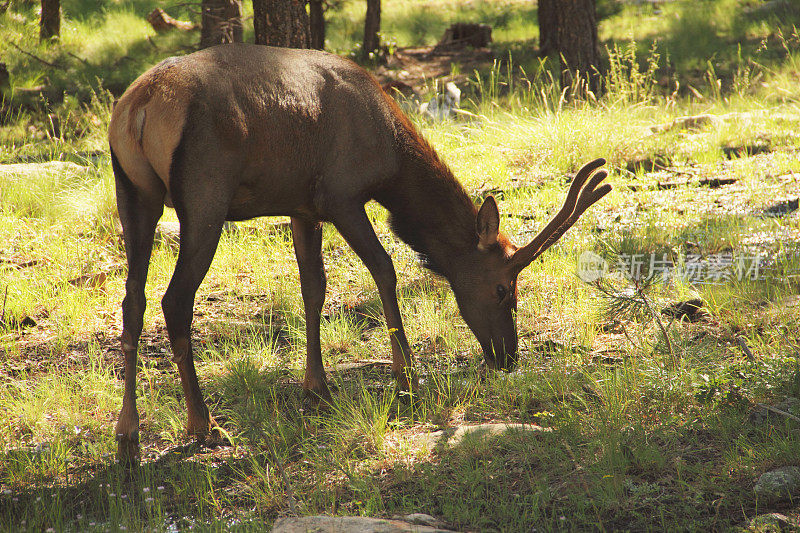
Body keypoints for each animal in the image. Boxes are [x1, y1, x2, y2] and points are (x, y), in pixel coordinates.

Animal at [108, 44, 612, 462]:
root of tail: (138, 108)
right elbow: (384, 270)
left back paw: (127, 433)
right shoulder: (342, 196)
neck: (392, 159)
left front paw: (316, 386)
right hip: (204, 195)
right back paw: (203, 424)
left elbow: (313, 288)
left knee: (132, 301)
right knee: (174, 300)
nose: (508, 356)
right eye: (504, 288)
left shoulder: (302, 207)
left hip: (133, 192)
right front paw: (406, 376)